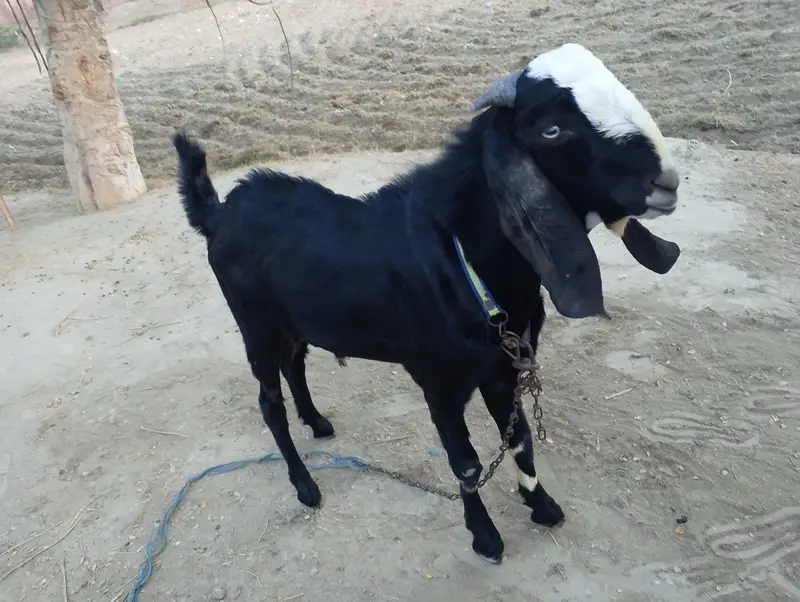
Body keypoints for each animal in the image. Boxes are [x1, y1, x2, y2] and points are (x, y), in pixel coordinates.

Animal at [172, 42, 682, 564]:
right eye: (552, 129)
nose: (666, 180)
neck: (462, 257)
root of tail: (218, 213)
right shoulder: (438, 382)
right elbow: (467, 463)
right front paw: (485, 537)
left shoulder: (503, 369)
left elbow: (519, 439)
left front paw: (541, 505)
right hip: (256, 326)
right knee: (269, 402)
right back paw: (305, 485)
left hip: (295, 323)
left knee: (296, 367)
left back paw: (317, 422)